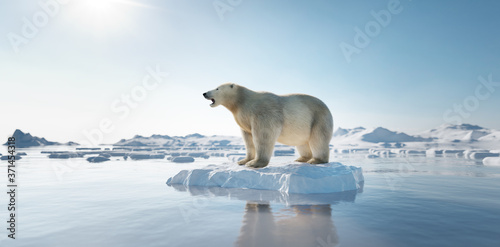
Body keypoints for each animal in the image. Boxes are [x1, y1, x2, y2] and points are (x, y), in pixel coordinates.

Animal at [203, 83, 332, 168]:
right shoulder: (244, 119)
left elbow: (263, 135)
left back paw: (316, 160)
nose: (204, 93)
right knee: (302, 142)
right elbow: (248, 139)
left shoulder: (263, 112)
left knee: (318, 139)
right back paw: (301, 158)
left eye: (217, 88)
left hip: (319, 119)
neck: (243, 101)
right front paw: (243, 160)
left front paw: (255, 163)